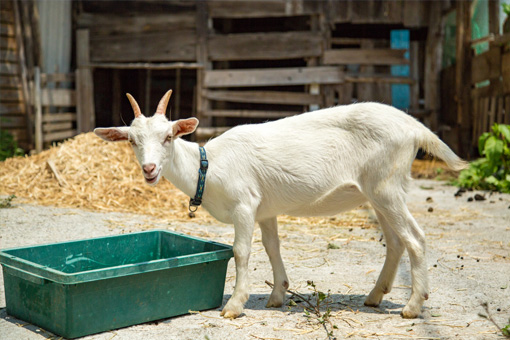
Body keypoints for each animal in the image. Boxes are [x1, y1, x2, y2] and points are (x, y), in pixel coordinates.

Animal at [94, 89, 466, 318]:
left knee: (415, 240)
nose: (149, 169)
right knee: (395, 241)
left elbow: (242, 251)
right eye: (131, 141)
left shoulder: (244, 205)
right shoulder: (264, 210)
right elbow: (272, 247)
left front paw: (235, 305)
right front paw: (277, 295)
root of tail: (414, 127)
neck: (209, 167)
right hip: (378, 192)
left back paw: (413, 306)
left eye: (169, 136)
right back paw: (375, 296)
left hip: (386, 186)